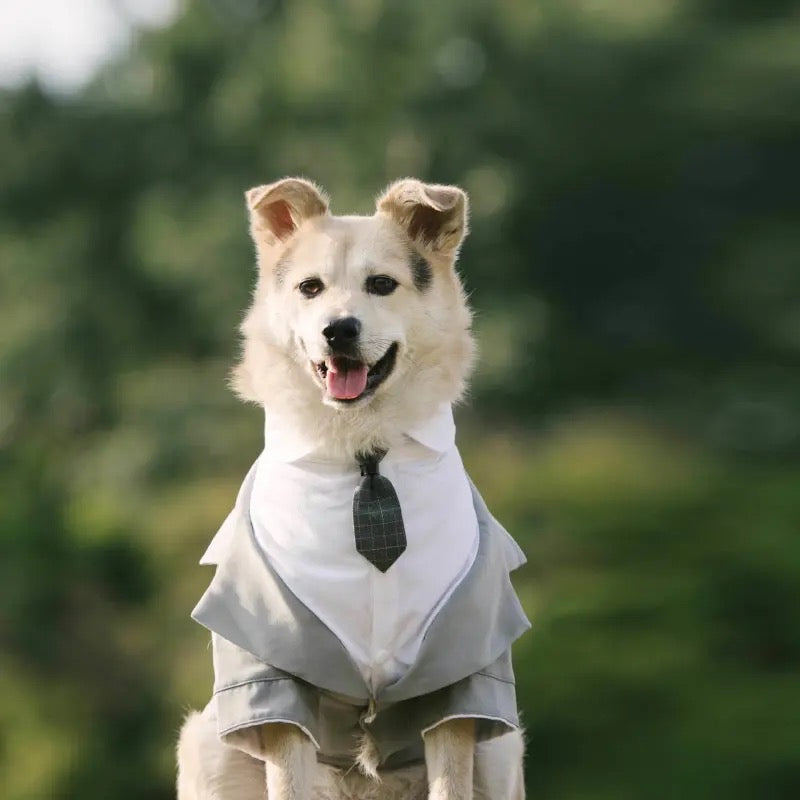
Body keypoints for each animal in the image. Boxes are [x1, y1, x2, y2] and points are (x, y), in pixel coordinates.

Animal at [177, 178, 528, 800]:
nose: (338, 330)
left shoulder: (457, 667)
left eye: (382, 284)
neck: (363, 450)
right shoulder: (278, 667)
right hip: (207, 745)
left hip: (502, 751)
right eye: (310, 288)